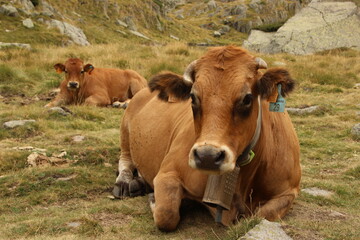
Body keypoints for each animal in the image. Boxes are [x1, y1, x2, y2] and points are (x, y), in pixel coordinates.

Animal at [113, 45, 300, 231]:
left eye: (247, 98)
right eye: (192, 97)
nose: (207, 156)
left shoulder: (289, 190)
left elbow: (260, 216)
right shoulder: (168, 172)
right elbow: (166, 214)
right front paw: (155, 199)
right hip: (125, 131)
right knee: (126, 160)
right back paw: (126, 183)